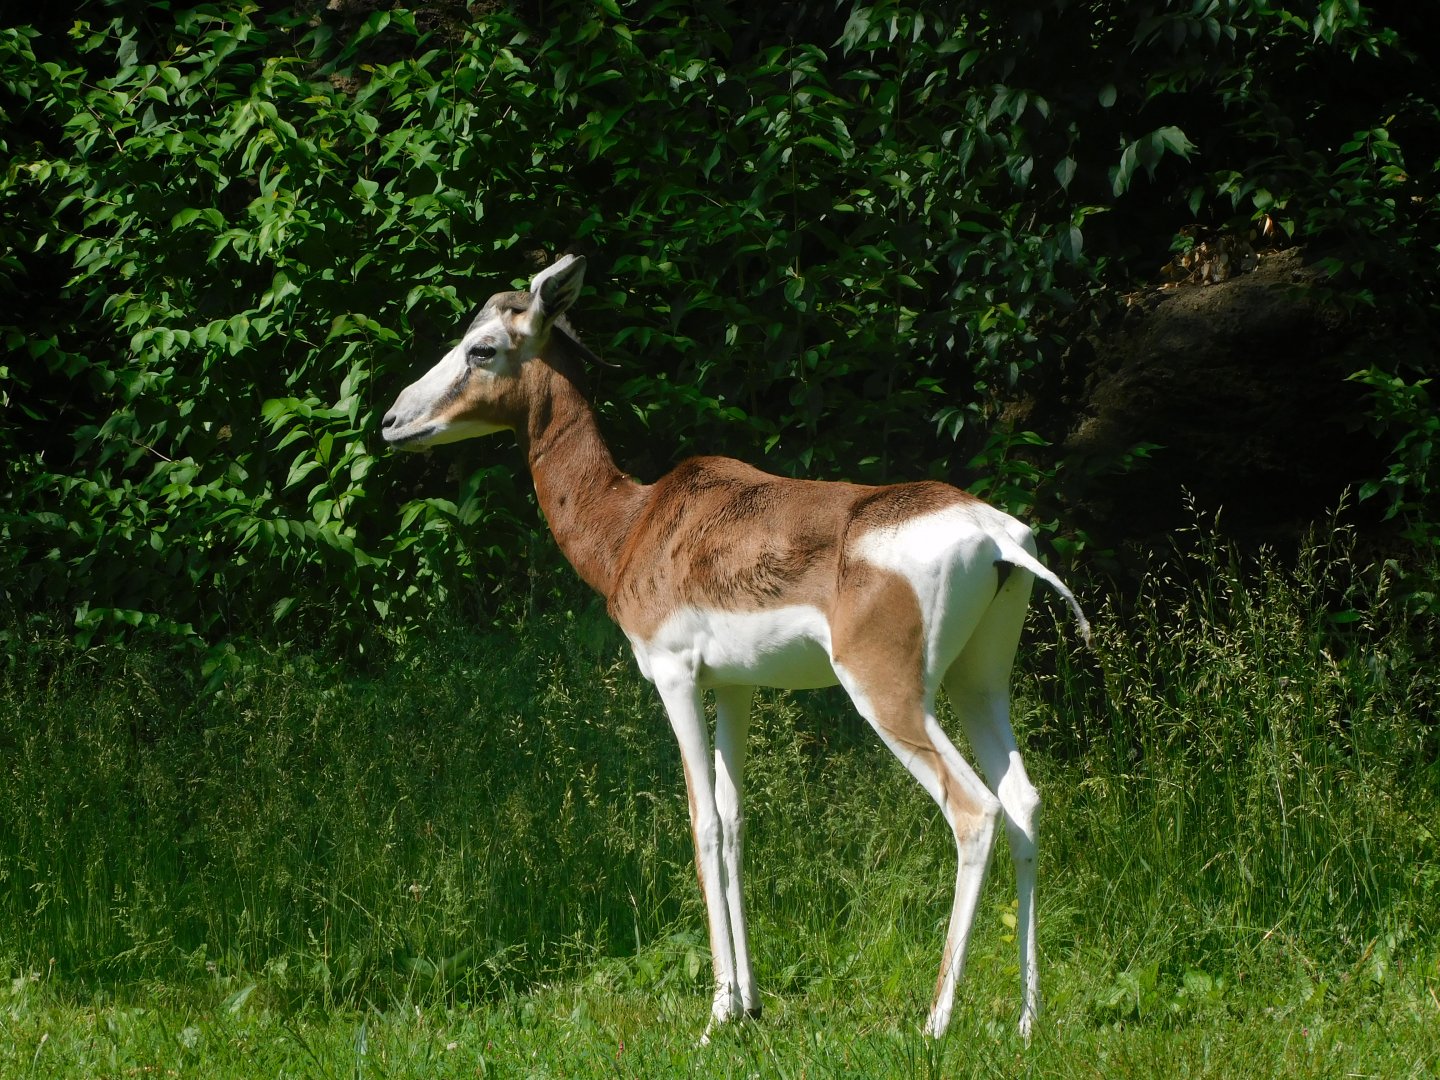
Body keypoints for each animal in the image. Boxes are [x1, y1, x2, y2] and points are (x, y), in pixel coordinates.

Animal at [381, 254, 1089, 1041]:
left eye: (482, 349)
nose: (392, 420)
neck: (633, 523)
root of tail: (997, 538)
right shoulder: (735, 686)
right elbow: (738, 818)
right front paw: (748, 1000)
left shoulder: (675, 677)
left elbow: (704, 822)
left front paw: (718, 1011)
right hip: (978, 683)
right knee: (1023, 802)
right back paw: (1027, 1021)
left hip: (889, 696)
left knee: (975, 812)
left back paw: (934, 1022)